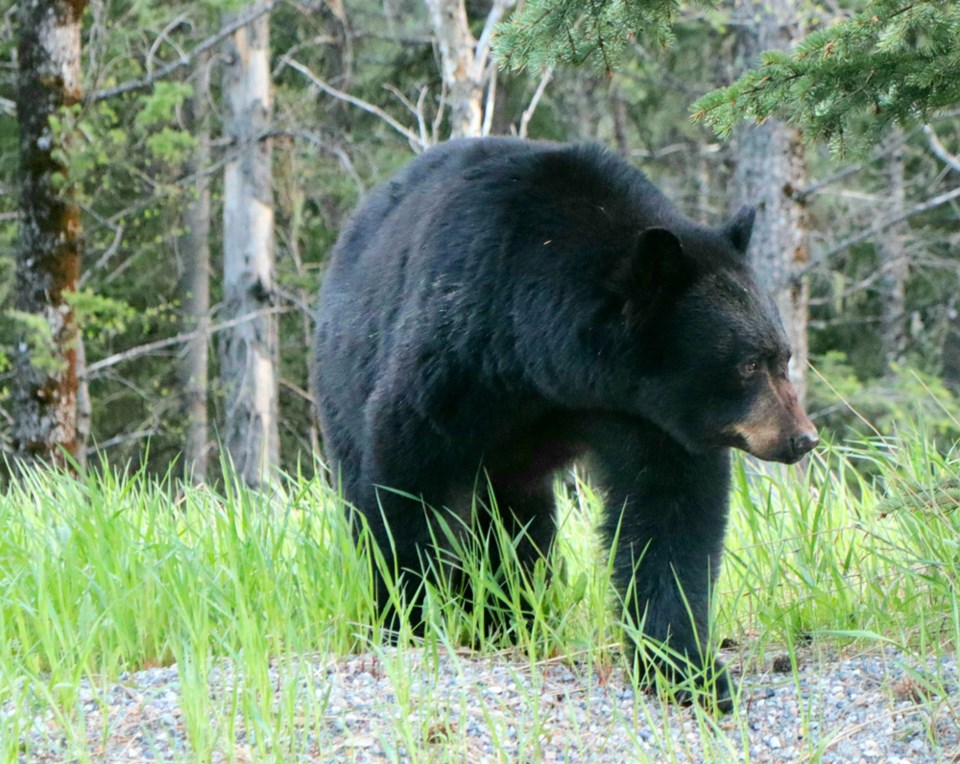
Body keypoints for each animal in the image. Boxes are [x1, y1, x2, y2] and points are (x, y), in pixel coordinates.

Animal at [316, 139, 816, 712]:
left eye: (783, 355)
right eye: (750, 363)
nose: (803, 438)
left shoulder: (647, 417)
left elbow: (671, 517)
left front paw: (688, 670)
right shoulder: (455, 351)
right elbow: (408, 471)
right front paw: (410, 615)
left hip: (513, 470)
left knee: (517, 529)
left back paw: (513, 617)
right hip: (344, 379)